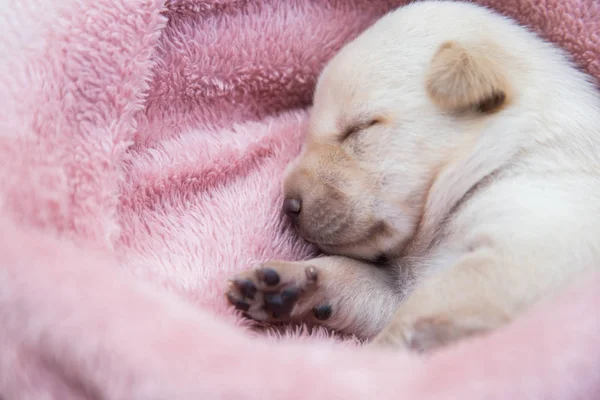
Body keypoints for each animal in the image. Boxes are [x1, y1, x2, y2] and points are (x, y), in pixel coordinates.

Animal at [224, 0, 600, 350]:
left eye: (360, 128)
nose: (288, 207)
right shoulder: (407, 284)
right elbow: (365, 282)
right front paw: (289, 284)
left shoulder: (530, 249)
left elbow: (419, 314)